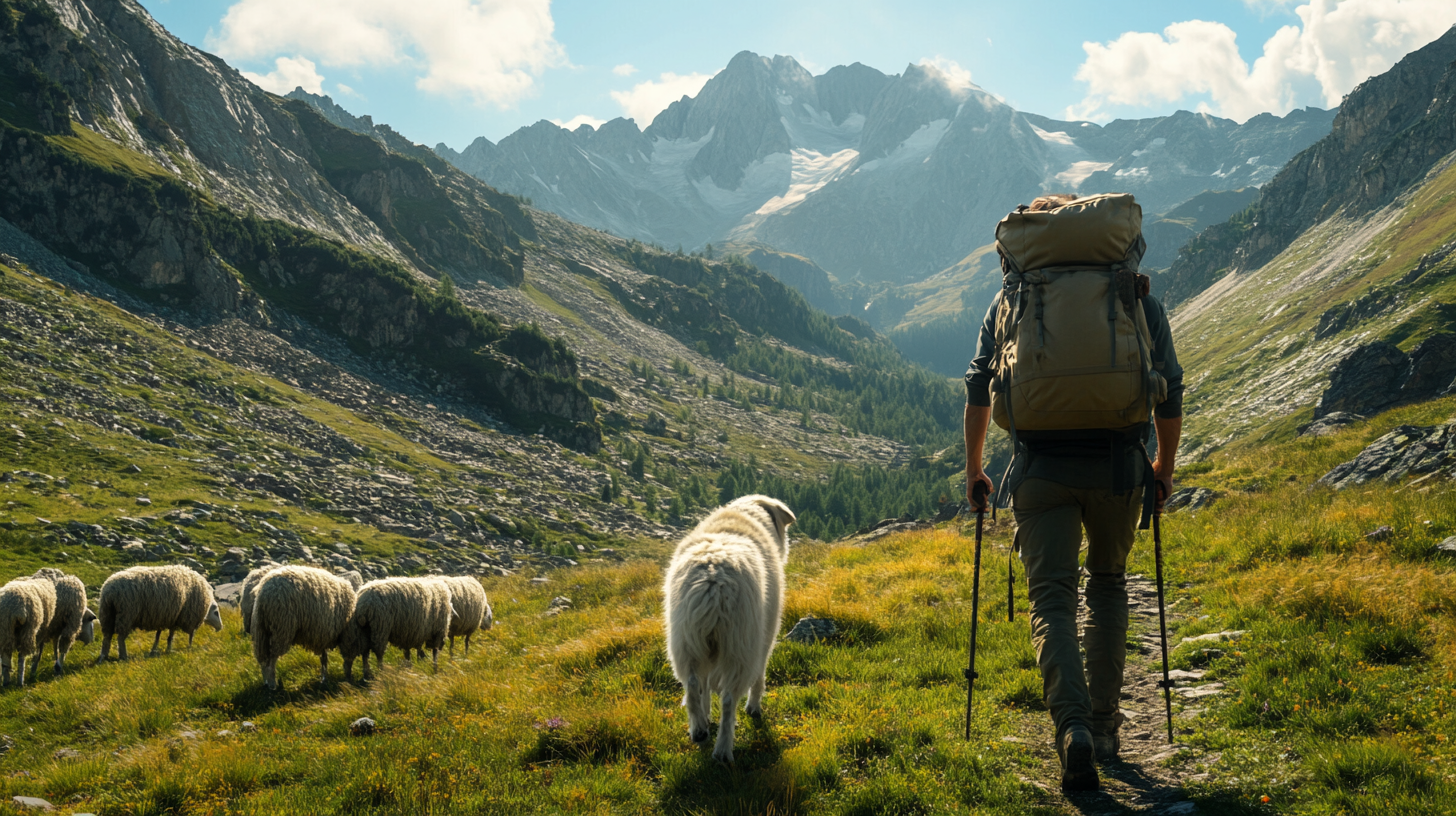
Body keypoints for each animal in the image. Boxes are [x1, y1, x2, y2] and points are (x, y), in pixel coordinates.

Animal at [663, 489, 797, 763]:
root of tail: (713, 579)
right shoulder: (764, 638)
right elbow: (759, 677)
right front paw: (754, 708)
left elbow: (703, 689)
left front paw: (706, 718)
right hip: (740, 645)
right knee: (728, 700)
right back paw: (723, 750)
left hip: (686, 641)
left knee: (693, 684)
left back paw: (699, 731)